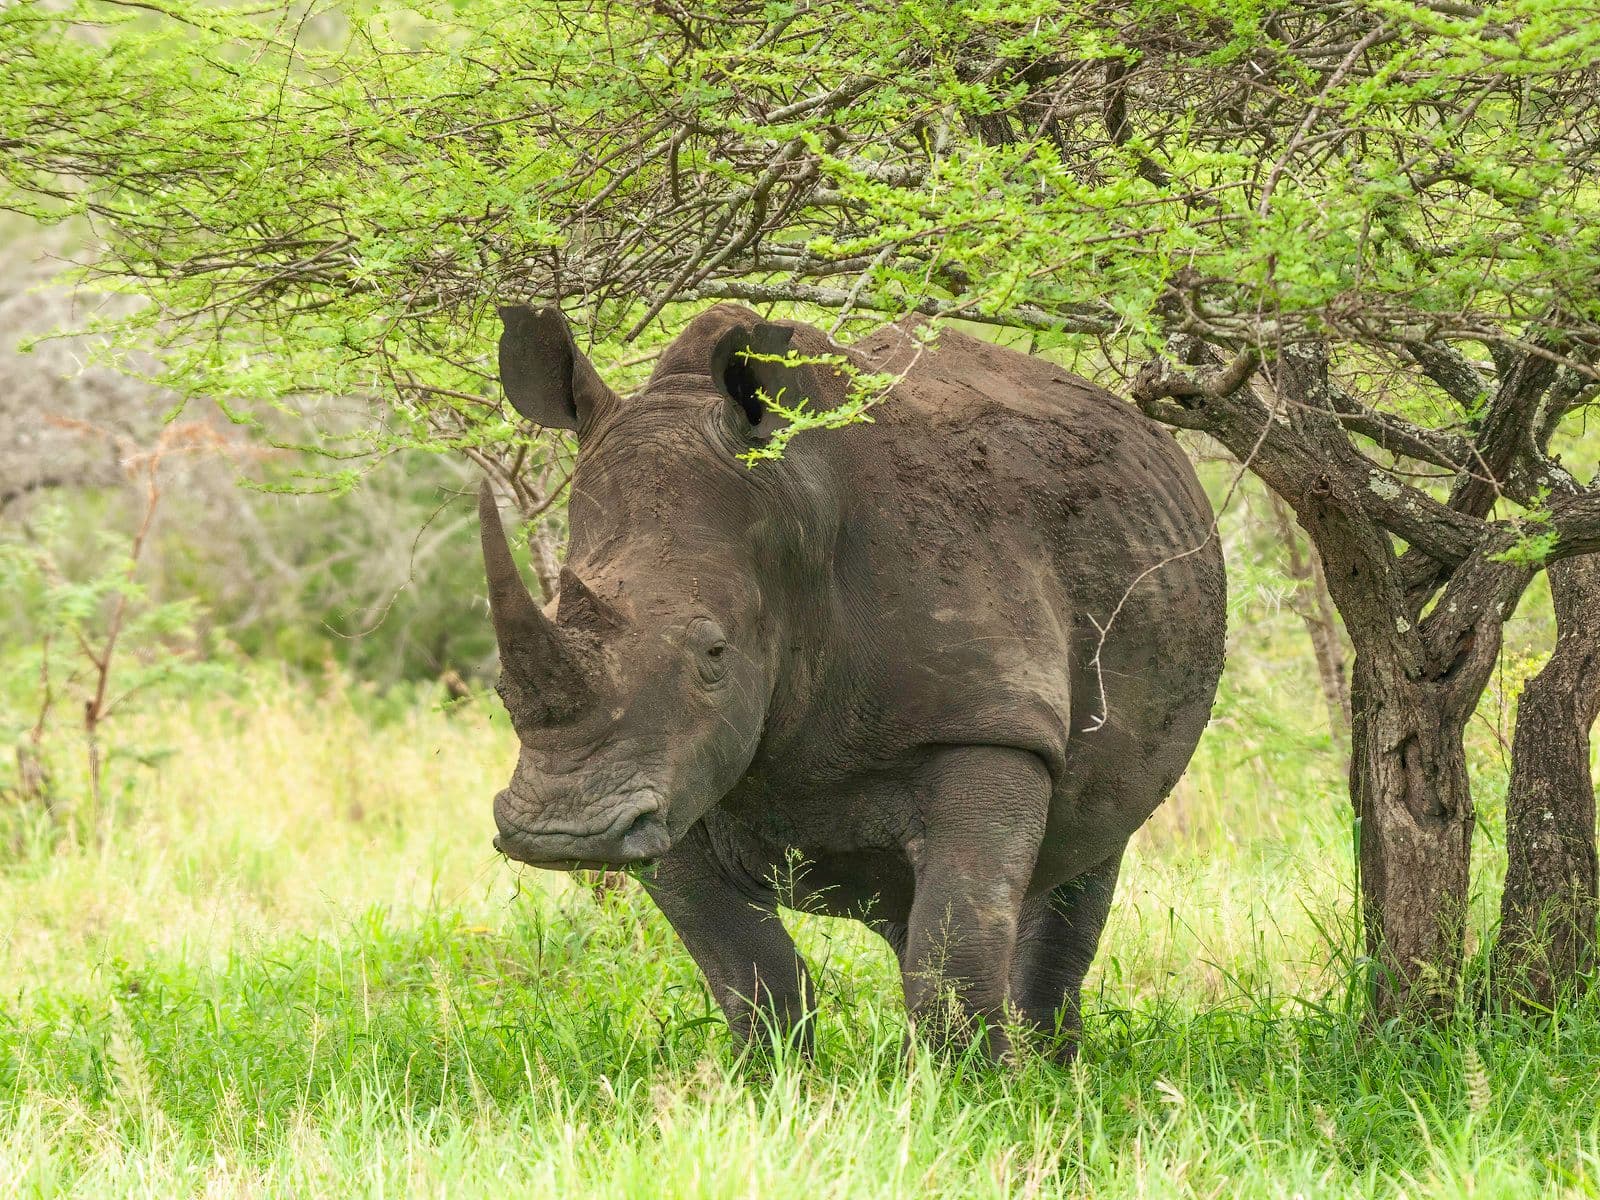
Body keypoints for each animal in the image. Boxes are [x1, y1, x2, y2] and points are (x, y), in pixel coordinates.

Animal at [480, 303, 1225, 1061]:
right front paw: (776, 1079)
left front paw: (973, 1087)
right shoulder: (666, 781)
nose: (561, 833)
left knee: (1087, 853)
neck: (794, 514)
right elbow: (743, 963)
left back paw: (1052, 1069)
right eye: (502, 687)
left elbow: (956, 944)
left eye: (714, 654)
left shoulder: (990, 719)